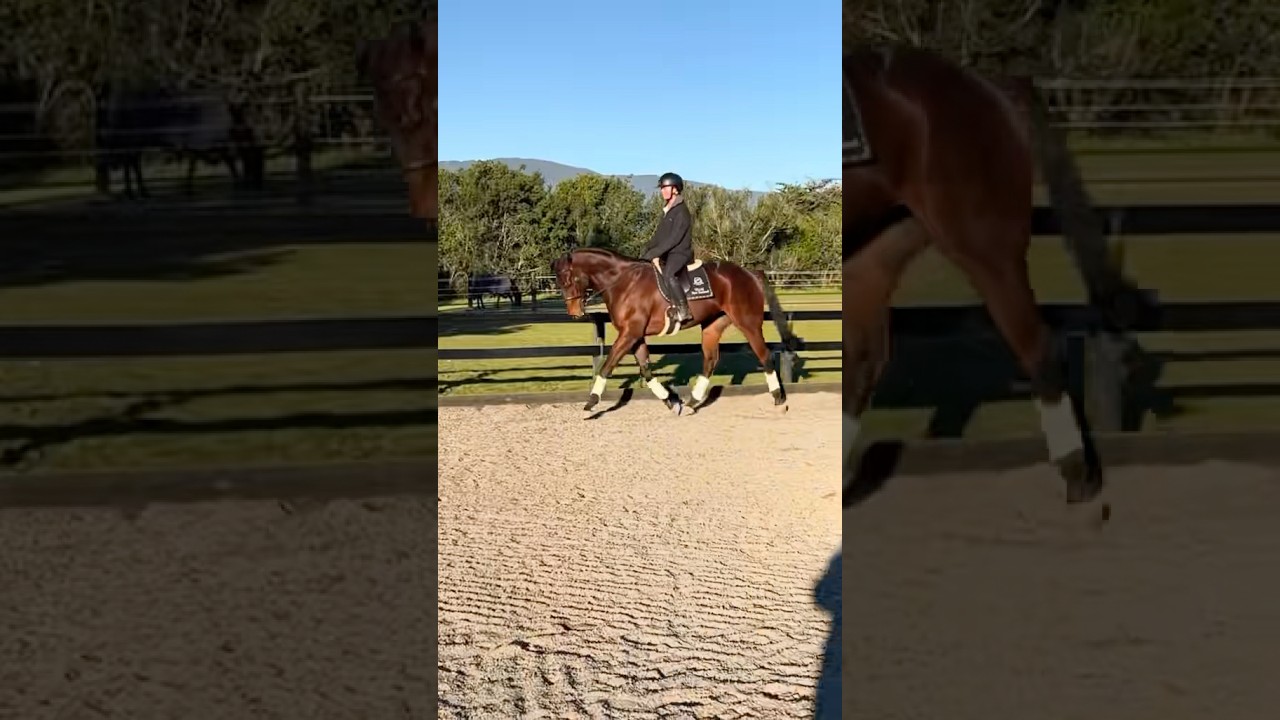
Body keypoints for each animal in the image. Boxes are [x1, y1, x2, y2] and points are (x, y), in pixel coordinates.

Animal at [551, 247, 800, 415]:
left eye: (569, 279)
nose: (574, 312)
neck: (623, 282)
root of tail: (749, 273)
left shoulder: (630, 333)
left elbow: (607, 365)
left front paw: (592, 401)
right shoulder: (635, 335)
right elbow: (646, 371)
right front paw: (671, 401)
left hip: (748, 323)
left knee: (764, 355)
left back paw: (779, 401)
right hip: (713, 325)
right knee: (710, 360)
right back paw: (692, 403)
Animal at [842, 45, 1154, 505]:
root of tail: (990, 85)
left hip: (985, 248)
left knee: (1035, 342)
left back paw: (1076, 471)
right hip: (873, 254)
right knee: (864, 358)